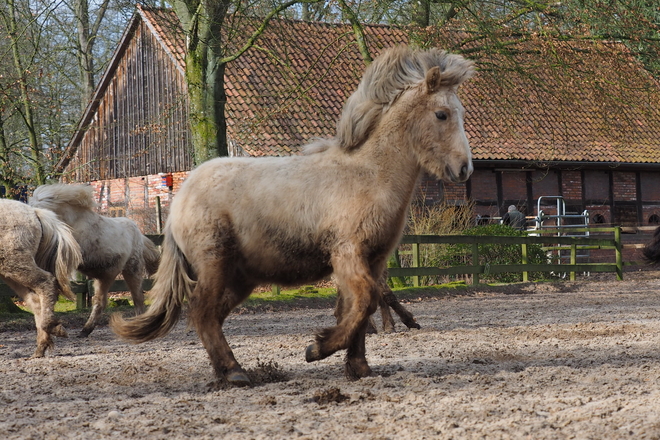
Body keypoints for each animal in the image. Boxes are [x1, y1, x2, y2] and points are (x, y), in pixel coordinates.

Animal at [0, 200, 82, 358]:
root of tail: (33, 212)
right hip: (11, 272)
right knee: (36, 299)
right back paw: (41, 346)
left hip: (15, 264)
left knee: (46, 283)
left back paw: (52, 329)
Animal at [29, 184, 161, 336]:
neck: (74, 222)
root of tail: (139, 234)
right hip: (103, 277)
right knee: (103, 302)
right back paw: (85, 330)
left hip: (126, 271)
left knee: (132, 298)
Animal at [113, 45, 474, 384]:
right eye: (442, 114)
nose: (464, 169)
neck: (369, 175)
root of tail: (181, 198)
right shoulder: (348, 253)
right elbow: (365, 301)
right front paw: (318, 348)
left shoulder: (373, 259)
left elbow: (360, 306)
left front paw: (358, 366)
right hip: (214, 262)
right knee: (202, 311)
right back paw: (235, 372)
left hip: (240, 277)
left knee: (212, 314)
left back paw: (227, 371)